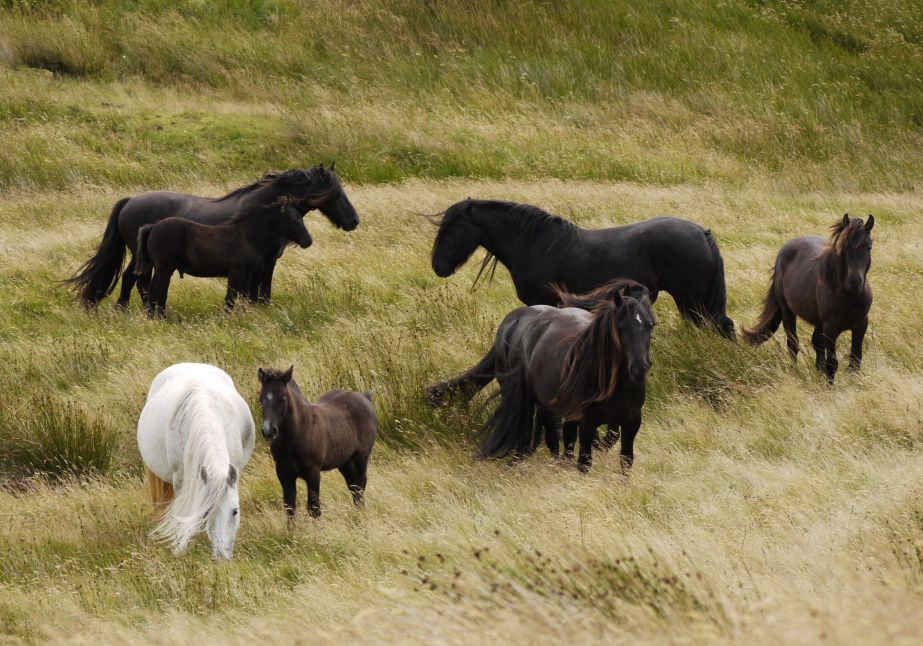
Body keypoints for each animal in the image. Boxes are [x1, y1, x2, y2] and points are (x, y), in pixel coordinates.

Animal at [134, 197, 312, 316]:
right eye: (293, 219)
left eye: (301, 217)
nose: (308, 241)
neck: (247, 236)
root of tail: (153, 226)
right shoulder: (236, 272)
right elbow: (231, 298)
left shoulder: (247, 274)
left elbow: (244, 297)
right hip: (164, 267)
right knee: (158, 291)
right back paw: (160, 318)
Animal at [257, 366, 377, 520]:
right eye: (261, 399)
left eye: (283, 399)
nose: (268, 431)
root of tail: (364, 397)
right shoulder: (283, 473)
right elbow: (290, 508)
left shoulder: (313, 472)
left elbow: (314, 509)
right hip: (344, 461)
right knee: (353, 486)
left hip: (361, 456)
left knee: (360, 484)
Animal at [477, 281, 655, 475]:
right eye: (621, 326)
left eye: (651, 325)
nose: (639, 368)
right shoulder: (587, 423)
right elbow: (584, 463)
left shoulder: (631, 422)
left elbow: (625, 461)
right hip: (535, 402)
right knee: (544, 436)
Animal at [743, 214, 874, 384]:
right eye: (844, 248)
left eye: (869, 247)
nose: (854, 282)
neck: (849, 297)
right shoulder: (831, 329)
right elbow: (833, 363)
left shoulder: (861, 325)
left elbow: (855, 361)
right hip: (788, 311)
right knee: (793, 343)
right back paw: (794, 371)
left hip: (818, 322)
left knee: (816, 344)